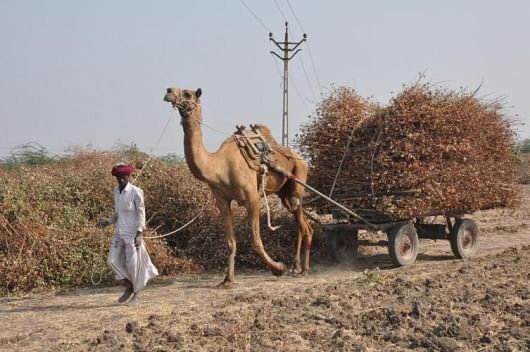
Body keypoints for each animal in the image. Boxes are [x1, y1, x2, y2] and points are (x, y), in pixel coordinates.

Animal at [163, 86, 312, 288]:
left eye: (188, 93)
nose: (168, 91)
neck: (220, 166)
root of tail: (300, 158)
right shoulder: (222, 200)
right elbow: (230, 242)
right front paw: (228, 280)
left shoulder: (252, 198)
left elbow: (256, 240)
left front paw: (278, 268)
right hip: (284, 192)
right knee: (301, 222)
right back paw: (297, 268)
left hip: (299, 176)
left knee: (302, 220)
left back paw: (302, 270)